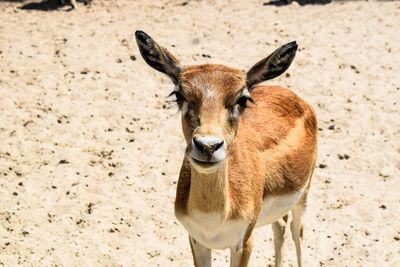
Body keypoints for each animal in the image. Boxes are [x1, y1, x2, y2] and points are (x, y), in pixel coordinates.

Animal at [136, 29, 318, 267]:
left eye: (243, 99)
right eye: (178, 94)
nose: (208, 146)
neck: (213, 218)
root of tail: (298, 99)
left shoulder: (244, 242)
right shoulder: (197, 241)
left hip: (303, 194)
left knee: (298, 230)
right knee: (280, 226)